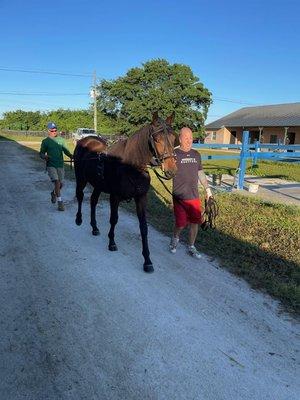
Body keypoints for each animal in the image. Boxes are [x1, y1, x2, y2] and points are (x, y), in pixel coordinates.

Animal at [73, 114, 177, 274]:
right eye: (156, 139)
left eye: (173, 138)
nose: (171, 170)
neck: (131, 167)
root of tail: (85, 140)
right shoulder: (115, 197)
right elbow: (114, 219)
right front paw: (111, 243)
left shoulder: (141, 198)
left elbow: (144, 228)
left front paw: (147, 260)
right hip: (81, 178)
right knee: (80, 196)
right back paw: (79, 220)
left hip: (98, 185)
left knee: (93, 201)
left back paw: (95, 227)